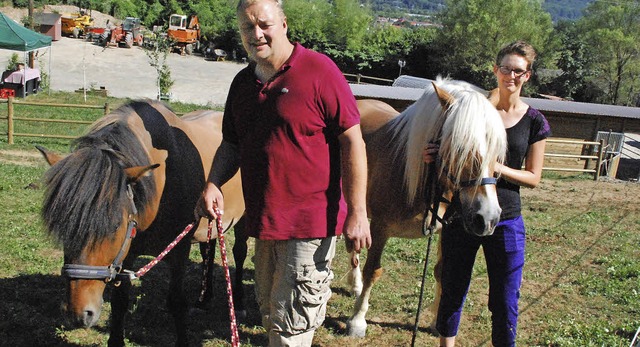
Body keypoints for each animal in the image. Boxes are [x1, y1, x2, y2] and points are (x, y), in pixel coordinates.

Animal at [38, 99, 245, 346]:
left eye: (114, 226)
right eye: (63, 227)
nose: (79, 314)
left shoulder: (179, 250)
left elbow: (176, 301)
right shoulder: (125, 253)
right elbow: (120, 301)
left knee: (239, 252)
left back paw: (238, 303)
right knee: (209, 249)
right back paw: (204, 300)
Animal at [348, 78, 508, 338]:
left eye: (496, 149)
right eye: (460, 147)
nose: (488, 218)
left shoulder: (445, 231)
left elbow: (442, 272)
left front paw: (436, 321)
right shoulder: (380, 228)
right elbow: (373, 270)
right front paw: (357, 320)